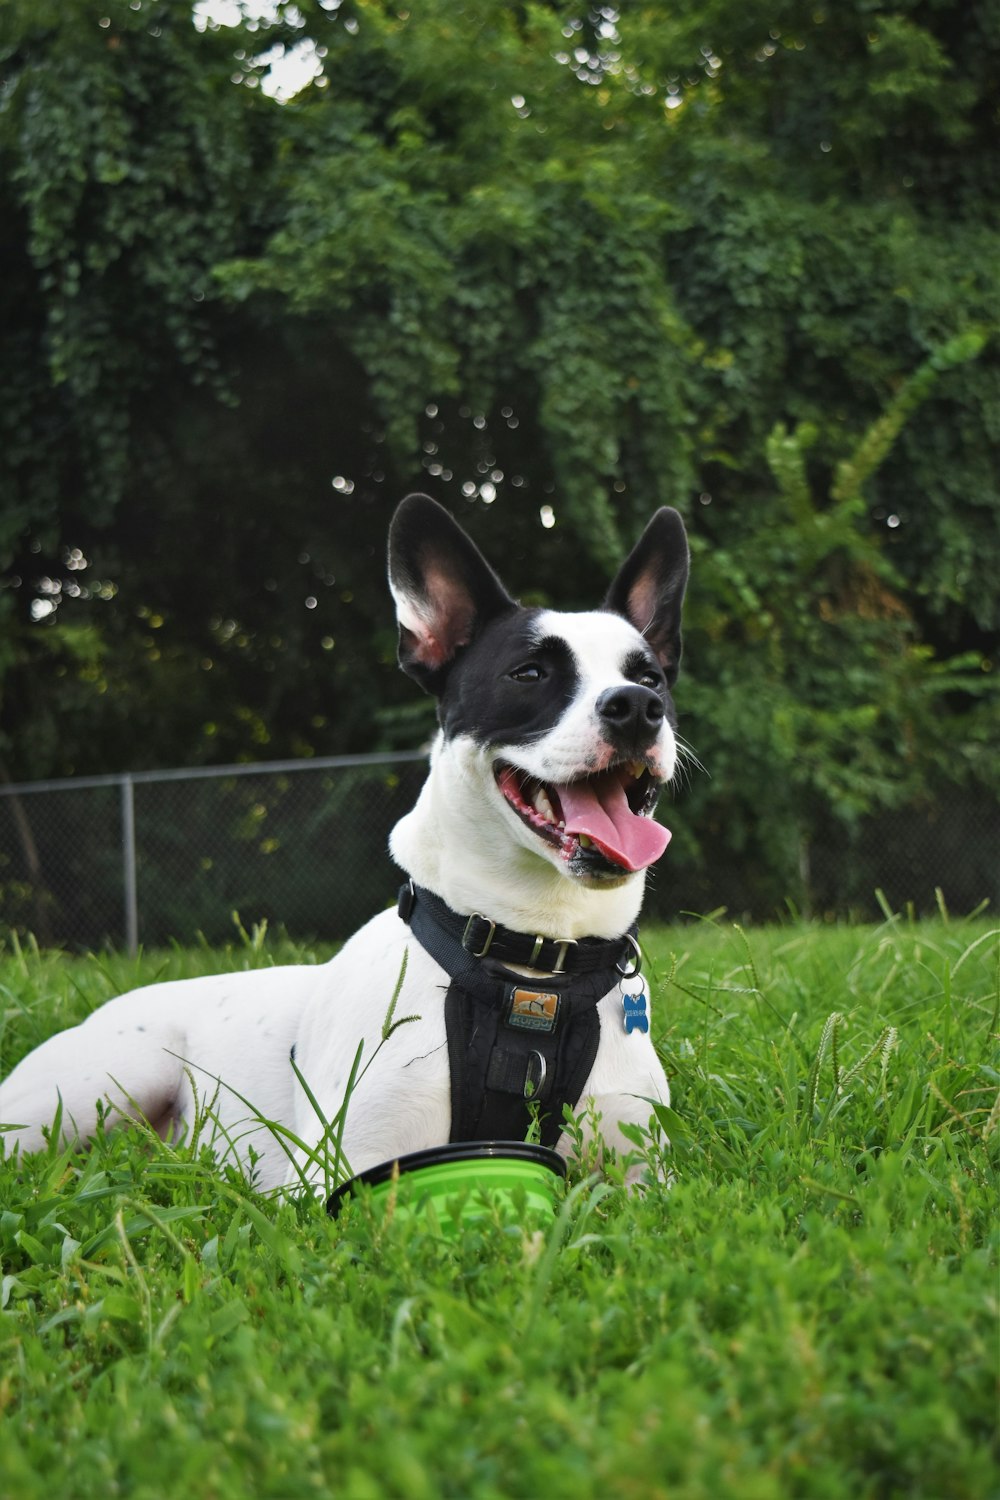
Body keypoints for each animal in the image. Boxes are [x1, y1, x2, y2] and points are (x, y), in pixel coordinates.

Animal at [0, 498, 689, 1188]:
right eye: (529, 673)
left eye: (651, 676)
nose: (637, 706)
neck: (534, 964)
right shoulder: (332, 1178)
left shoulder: (645, 1178)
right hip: (98, 1085)